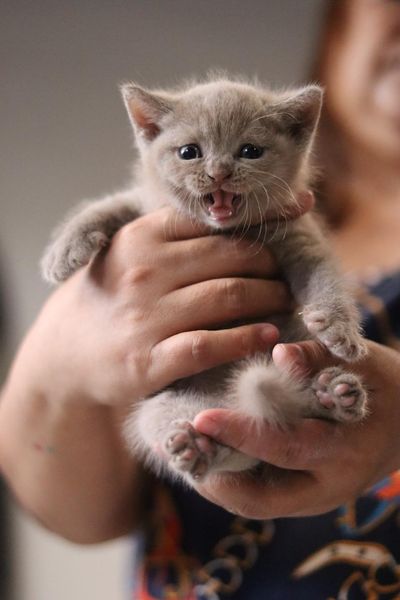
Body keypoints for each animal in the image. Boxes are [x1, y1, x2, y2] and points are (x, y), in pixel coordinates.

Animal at [42, 76, 368, 488]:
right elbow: (110, 204)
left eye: (249, 151)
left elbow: (323, 273)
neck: (221, 230)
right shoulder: (149, 207)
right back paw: (195, 445)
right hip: (164, 405)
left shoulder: (299, 234)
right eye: (189, 152)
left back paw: (334, 394)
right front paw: (64, 251)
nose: (219, 172)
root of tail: (230, 403)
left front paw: (339, 329)